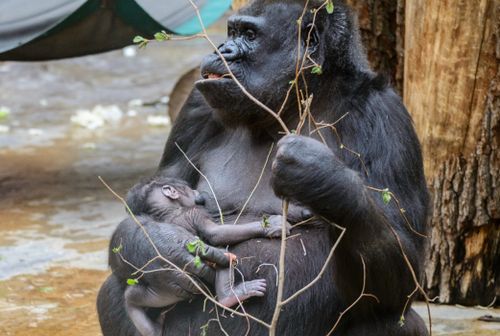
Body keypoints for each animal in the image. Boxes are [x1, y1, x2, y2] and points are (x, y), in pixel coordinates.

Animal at [109, 177, 290, 334]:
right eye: (188, 187)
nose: (196, 191)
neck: (167, 209)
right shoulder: (195, 212)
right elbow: (216, 234)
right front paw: (270, 226)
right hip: (176, 289)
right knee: (224, 256)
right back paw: (230, 296)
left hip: (160, 293)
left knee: (132, 297)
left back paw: (151, 327)